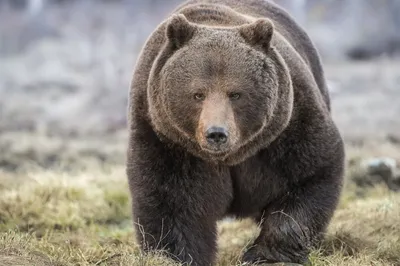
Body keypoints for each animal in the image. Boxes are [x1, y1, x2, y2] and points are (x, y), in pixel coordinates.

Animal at [127, 0, 344, 266]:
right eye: (198, 94)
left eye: (236, 94)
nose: (216, 133)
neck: (229, 157)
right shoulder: (165, 138)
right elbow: (171, 201)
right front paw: (176, 256)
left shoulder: (288, 126)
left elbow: (310, 173)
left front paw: (265, 255)